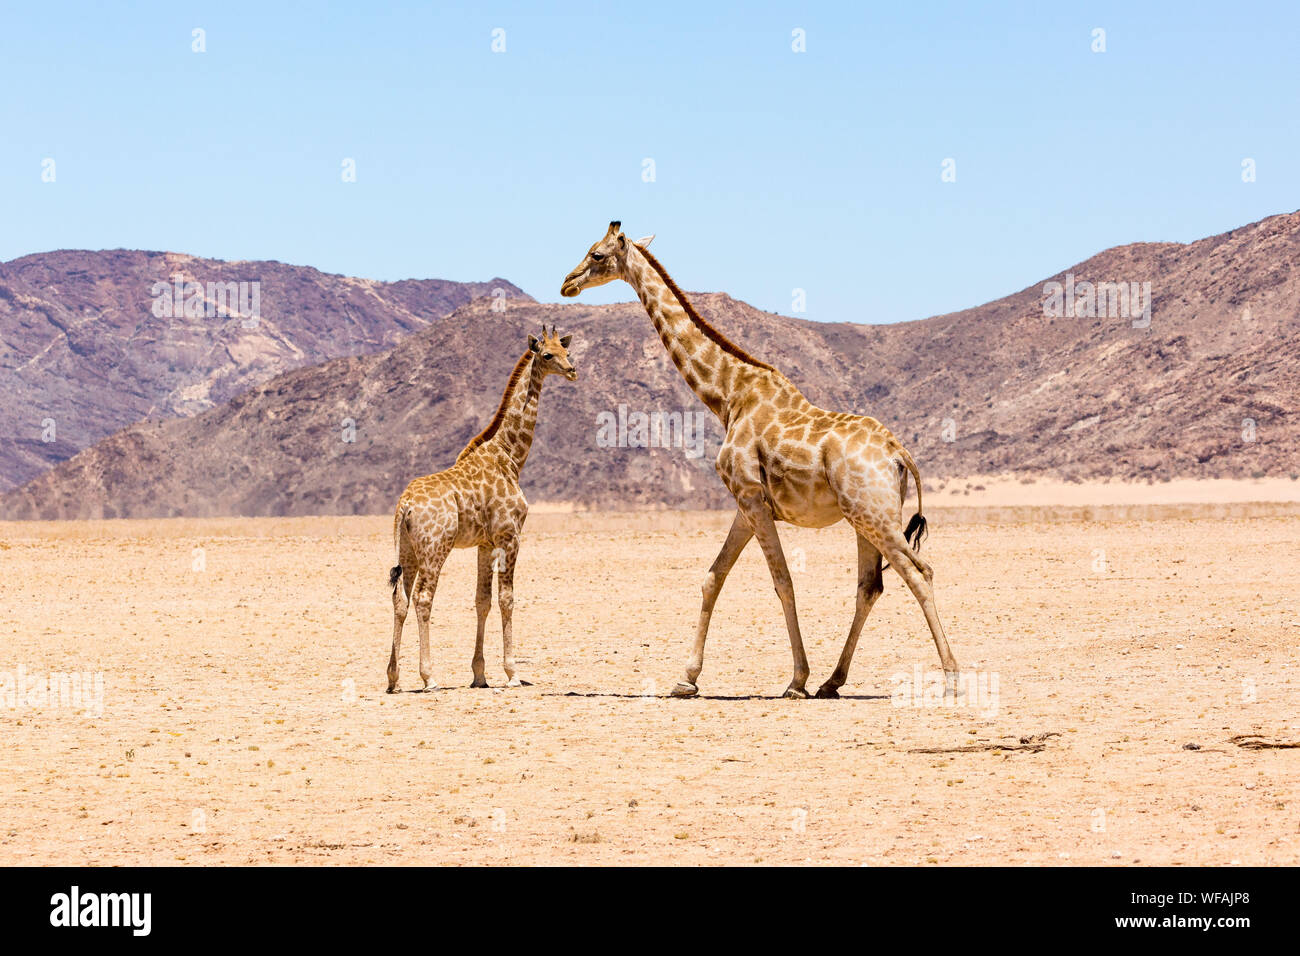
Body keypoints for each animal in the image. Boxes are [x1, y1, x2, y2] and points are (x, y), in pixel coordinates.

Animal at [384, 325, 579, 691]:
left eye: (567, 351)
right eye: (547, 355)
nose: (573, 371)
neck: (510, 455)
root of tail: (405, 505)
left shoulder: (485, 543)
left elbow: (482, 601)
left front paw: (479, 674)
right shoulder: (509, 535)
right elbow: (507, 598)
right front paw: (512, 672)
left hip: (407, 549)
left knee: (400, 600)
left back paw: (393, 678)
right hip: (435, 547)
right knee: (423, 599)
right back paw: (429, 676)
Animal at [559, 223, 956, 702]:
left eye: (596, 255)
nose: (566, 283)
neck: (727, 396)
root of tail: (900, 454)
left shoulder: (750, 498)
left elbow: (782, 580)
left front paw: (796, 680)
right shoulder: (746, 504)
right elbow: (713, 577)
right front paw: (686, 678)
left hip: (874, 515)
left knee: (920, 572)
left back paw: (950, 677)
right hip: (865, 516)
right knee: (871, 585)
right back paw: (832, 682)